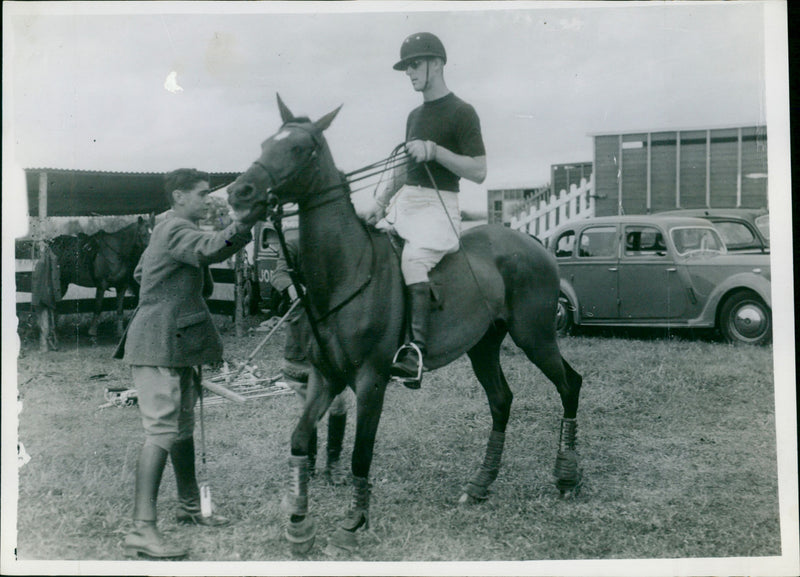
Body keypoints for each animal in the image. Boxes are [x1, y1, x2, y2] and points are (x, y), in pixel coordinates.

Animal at [36, 216, 152, 348]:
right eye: (142, 234)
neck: (116, 251)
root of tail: (49, 245)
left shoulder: (121, 287)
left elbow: (119, 309)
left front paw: (119, 334)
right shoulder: (102, 285)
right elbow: (98, 308)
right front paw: (92, 336)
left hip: (62, 284)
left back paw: (53, 336)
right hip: (58, 284)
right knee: (51, 306)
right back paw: (52, 337)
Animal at [225, 95, 580, 552]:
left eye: (300, 148)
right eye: (267, 142)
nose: (239, 192)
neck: (346, 271)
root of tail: (534, 241)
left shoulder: (371, 381)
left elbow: (361, 453)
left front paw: (353, 522)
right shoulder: (325, 378)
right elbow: (300, 438)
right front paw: (300, 523)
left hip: (534, 335)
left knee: (569, 384)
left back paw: (567, 476)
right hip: (484, 343)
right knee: (502, 400)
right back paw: (480, 485)